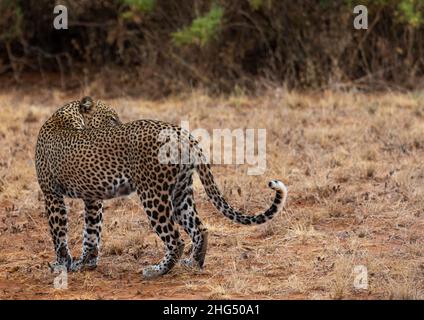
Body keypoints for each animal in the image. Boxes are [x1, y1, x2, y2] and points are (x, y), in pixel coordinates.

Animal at [35, 96, 288, 278]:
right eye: (112, 118)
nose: (119, 124)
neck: (67, 117)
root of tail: (181, 132)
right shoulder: (92, 199)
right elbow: (91, 233)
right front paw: (86, 262)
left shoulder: (52, 194)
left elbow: (59, 234)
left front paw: (62, 265)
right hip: (180, 192)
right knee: (199, 228)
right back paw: (193, 264)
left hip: (152, 194)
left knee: (176, 240)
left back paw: (156, 271)